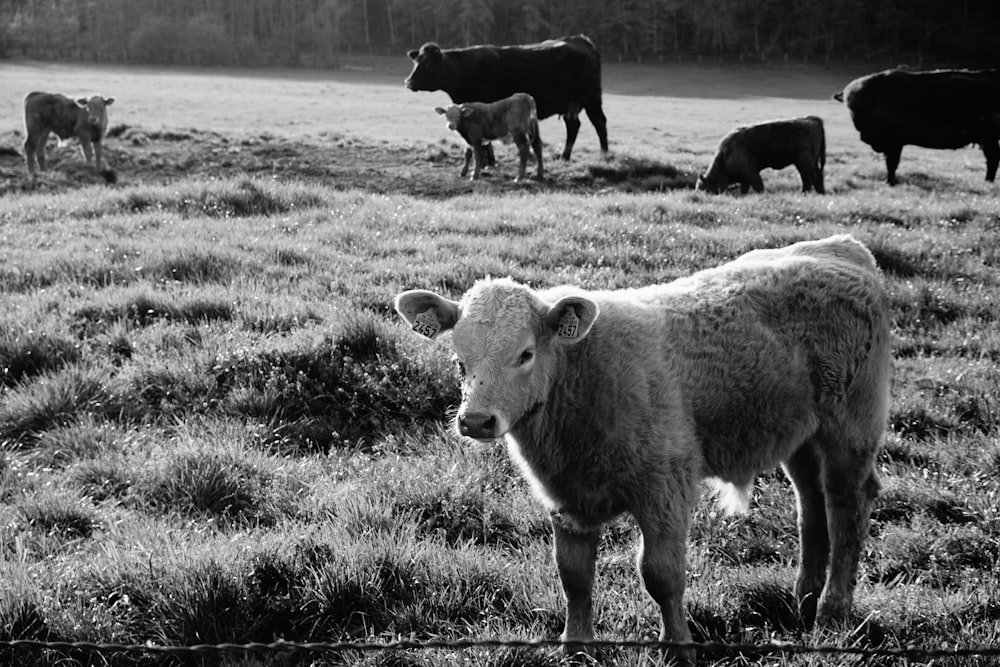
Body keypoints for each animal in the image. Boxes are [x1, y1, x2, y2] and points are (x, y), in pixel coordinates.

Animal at [394, 235, 888, 664]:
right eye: (459, 359)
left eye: (525, 354)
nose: (475, 420)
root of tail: (842, 247)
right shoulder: (566, 500)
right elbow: (574, 576)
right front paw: (575, 647)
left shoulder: (665, 489)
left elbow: (661, 575)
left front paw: (678, 648)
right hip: (800, 435)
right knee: (811, 506)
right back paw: (804, 598)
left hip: (851, 428)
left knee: (846, 508)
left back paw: (831, 612)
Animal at [406, 35, 608, 162]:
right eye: (416, 62)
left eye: (428, 64)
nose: (408, 81)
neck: (463, 70)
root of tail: (580, 40)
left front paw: (488, 161)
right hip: (570, 105)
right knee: (573, 126)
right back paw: (564, 157)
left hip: (592, 98)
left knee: (599, 122)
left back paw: (604, 155)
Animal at [696, 115, 828, 192]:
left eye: (705, 189)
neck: (725, 155)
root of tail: (812, 119)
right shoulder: (746, 178)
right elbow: (744, 189)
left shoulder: (751, 173)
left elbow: (758, 186)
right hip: (812, 162)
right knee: (818, 176)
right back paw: (820, 193)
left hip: (803, 162)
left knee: (808, 178)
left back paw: (804, 193)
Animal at [836, 68, 1000, 185]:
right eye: (849, 104)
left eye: (855, 104)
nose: (863, 135)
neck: (877, 95)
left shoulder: (894, 143)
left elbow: (892, 164)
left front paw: (891, 182)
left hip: (989, 138)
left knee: (992, 159)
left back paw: (988, 182)